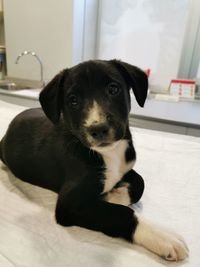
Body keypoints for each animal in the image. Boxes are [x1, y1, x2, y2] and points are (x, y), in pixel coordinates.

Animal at [0, 60, 188, 262]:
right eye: (73, 100)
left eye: (113, 89)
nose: (98, 129)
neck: (108, 154)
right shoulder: (69, 205)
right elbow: (121, 212)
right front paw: (161, 235)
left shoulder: (125, 167)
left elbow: (140, 183)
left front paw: (115, 195)